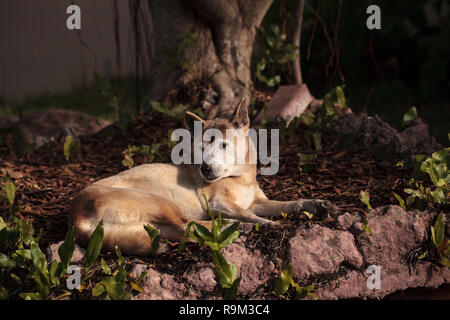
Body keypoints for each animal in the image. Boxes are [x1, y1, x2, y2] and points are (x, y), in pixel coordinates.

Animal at [69, 99, 338, 254]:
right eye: (200, 148)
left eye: (223, 145)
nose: (205, 169)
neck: (239, 178)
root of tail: (76, 218)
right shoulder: (219, 203)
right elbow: (249, 213)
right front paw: (265, 223)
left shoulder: (259, 202)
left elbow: (289, 204)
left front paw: (315, 204)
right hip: (160, 201)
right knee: (189, 223)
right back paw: (238, 227)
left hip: (153, 227)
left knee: (187, 230)